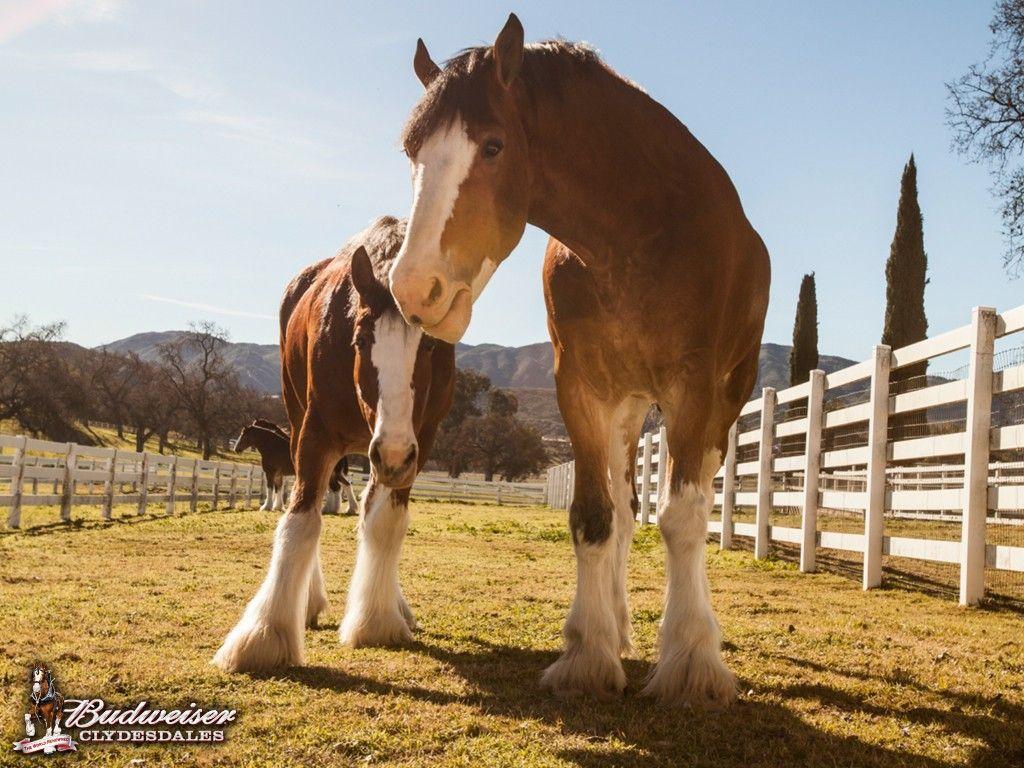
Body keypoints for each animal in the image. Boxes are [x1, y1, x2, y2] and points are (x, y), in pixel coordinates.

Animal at [213, 216, 455, 672]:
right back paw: (307, 600)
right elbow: (299, 522)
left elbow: (384, 523)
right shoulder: (316, 435)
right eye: (360, 340)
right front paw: (265, 635)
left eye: (430, 345)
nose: (392, 452)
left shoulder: (418, 443)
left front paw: (377, 621)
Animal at [388, 16, 770, 706]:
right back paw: (616, 625)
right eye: (412, 152)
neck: (641, 230)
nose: (413, 288)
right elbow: (596, 516)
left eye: (493, 145)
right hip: (626, 407)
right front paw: (589, 654)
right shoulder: (581, 388)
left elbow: (683, 518)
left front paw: (692, 661)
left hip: (719, 401)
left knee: (689, 502)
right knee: (621, 505)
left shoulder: (694, 389)